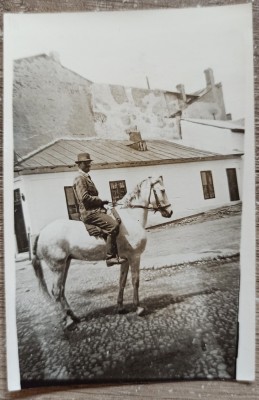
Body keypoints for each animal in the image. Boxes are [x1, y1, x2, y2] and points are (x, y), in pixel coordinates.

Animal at [32, 177, 174, 326]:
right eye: (162, 190)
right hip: (57, 267)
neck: (131, 217)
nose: (170, 212)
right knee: (56, 291)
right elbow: (135, 281)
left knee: (61, 290)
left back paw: (73, 316)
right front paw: (138, 307)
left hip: (65, 264)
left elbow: (122, 282)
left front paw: (120, 307)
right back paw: (67, 320)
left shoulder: (126, 260)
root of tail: (42, 232)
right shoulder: (135, 257)